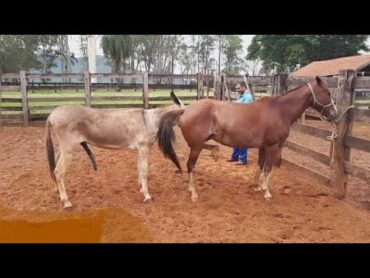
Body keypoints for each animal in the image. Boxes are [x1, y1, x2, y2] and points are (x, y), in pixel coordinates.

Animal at [158, 77, 336, 201]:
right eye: (328, 93)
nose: (334, 115)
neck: (280, 111)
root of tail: (186, 109)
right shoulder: (273, 146)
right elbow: (268, 168)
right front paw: (266, 192)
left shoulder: (263, 146)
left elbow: (260, 165)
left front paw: (256, 187)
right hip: (195, 146)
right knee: (190, 165)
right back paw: (193, 192)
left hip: (198, 143)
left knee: (204, 150)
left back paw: (215, 153)